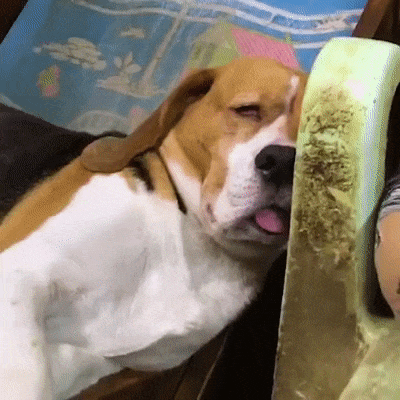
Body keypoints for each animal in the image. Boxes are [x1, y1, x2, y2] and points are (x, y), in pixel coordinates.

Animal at [0, 57, 307, 399]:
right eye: (248, 110)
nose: (284, 162)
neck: (192, 237)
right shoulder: (20, 271)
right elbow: (27, 374)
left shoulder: (94, 362)